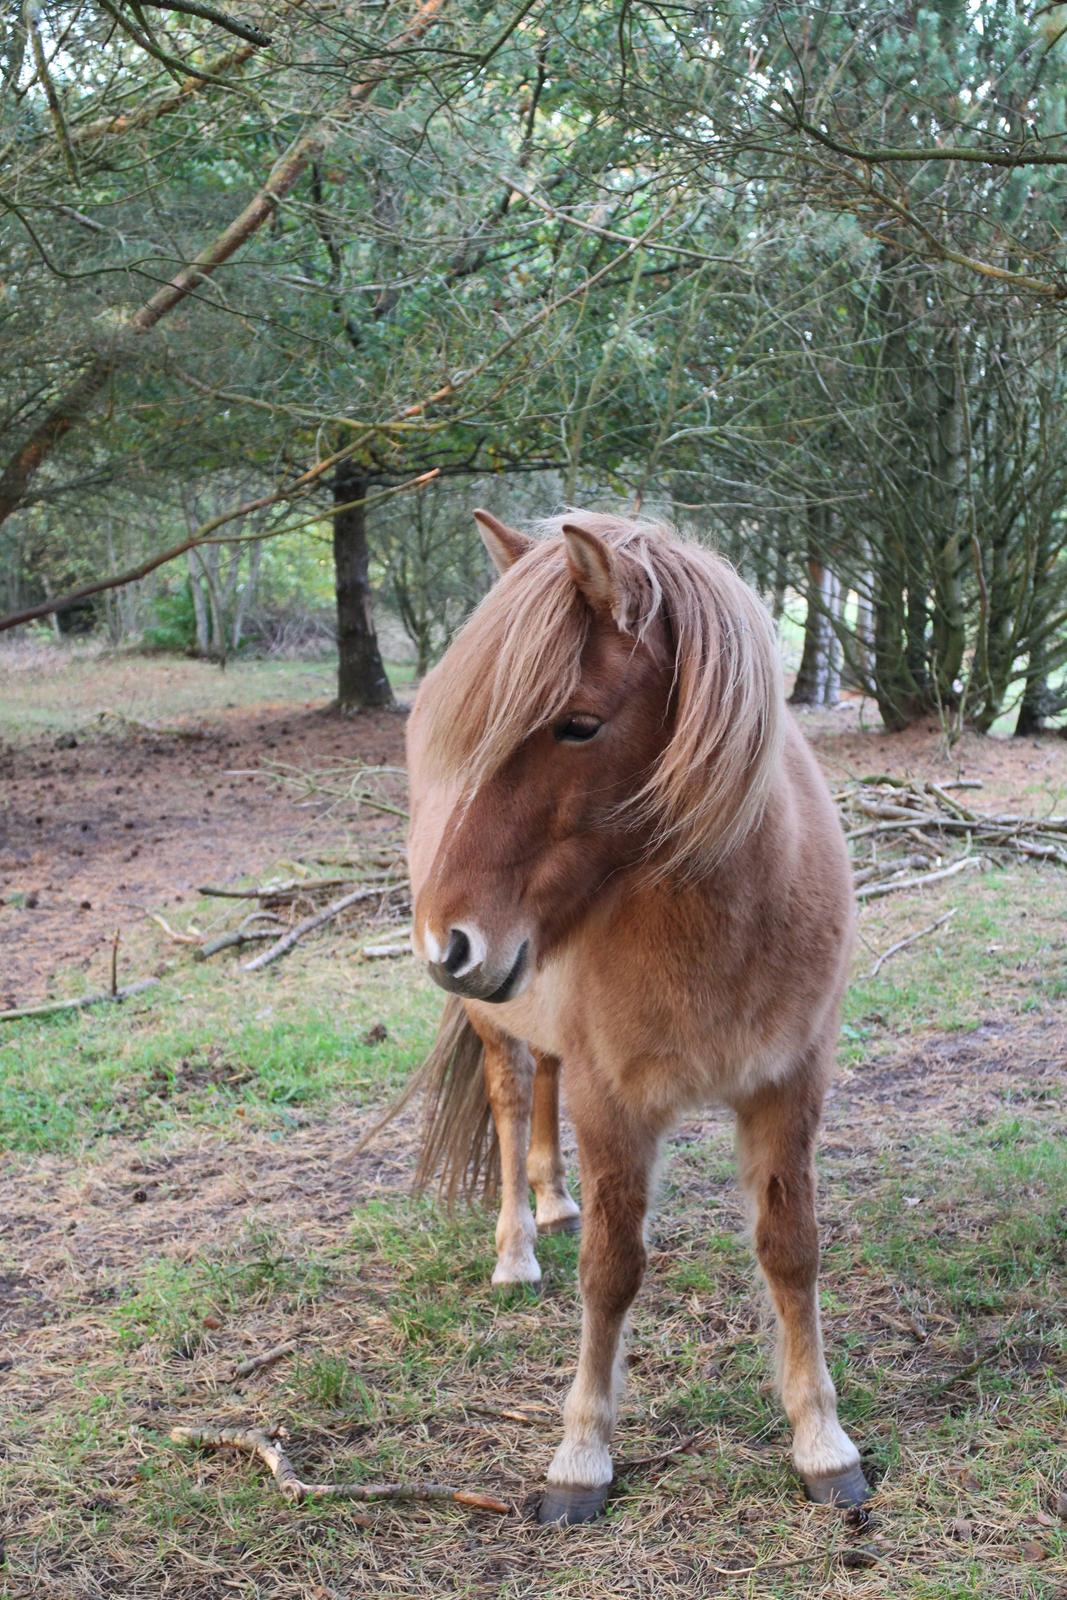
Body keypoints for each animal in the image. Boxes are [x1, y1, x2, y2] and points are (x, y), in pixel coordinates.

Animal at [403, 508, 870, 1523]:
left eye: (578, 725)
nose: (445, 943)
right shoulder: (613, 1102)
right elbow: (611, 1272)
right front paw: (581, 1455)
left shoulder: (790, 1083)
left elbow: (791, 1250)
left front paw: (821, 1440)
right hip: (497, 1026)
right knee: (511, 1102)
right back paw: (517, 1246)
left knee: (540, 1092)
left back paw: (552, 1197)